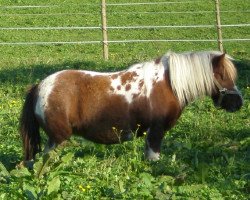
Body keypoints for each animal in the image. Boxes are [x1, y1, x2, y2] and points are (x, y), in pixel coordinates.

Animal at [19, 50, 242, 162]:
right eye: (223, 75)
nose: (238, 103)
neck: (168, 84)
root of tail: (40, 86)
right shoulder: (156, 131)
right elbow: (154, 159)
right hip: (58, 139)